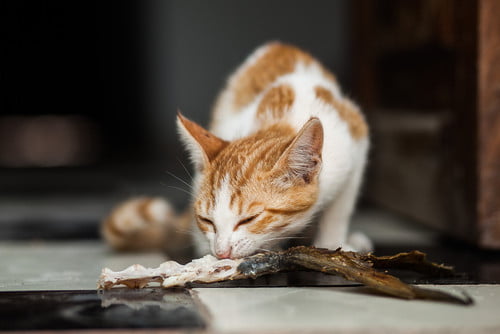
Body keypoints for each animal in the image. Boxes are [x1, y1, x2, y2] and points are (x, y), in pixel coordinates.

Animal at [101, 41, 370, 260]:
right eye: (207, 220)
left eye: (248, 219)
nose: (221, 253)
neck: (280, 120)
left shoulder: (353, 140)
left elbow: (340, 209)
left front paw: (332, 242)